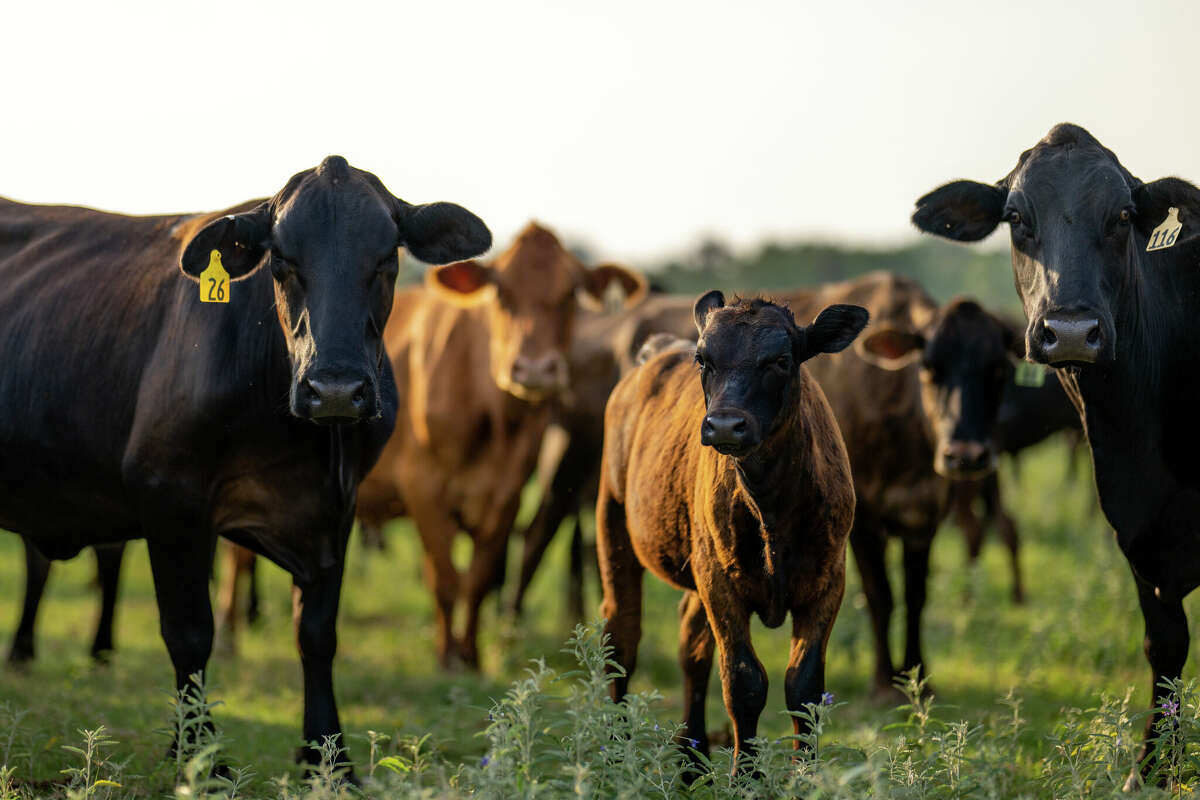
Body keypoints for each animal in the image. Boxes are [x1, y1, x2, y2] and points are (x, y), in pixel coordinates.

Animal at [0, 153, 492, 772]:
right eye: (281, 261)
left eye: (385, 258)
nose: (334, 388)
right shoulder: (170, 498)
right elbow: (189, 632)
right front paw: (199, 756)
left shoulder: (337, 511)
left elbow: (316, 633)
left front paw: (328, 758)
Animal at [352, 221, 648, 666]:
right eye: (502, 293)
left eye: (570, 294)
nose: (535, 369)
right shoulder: (424, 490)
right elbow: (445, 579)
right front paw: (448, 658)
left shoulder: (506, 496)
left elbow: (478, 579)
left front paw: (471, 656)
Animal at [597, 292, 864, 767]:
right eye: (704, 359)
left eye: (781, 360)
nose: (724, 425)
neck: (771, 508)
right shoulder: (720, 583)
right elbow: (744, 682)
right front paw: (746, 774)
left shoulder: (829, 580)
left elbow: (804, 687)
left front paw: (808, 773)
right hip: (612, 522)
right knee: (622, 636)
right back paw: (616, 757)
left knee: (691, 647)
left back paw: (691, 759)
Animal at [907, 123, 1200, 786]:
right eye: (1016, 217)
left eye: (1123, 216)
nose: (1069, 331)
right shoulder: (1136, 532)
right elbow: (1165, 645)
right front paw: (1152, 769)